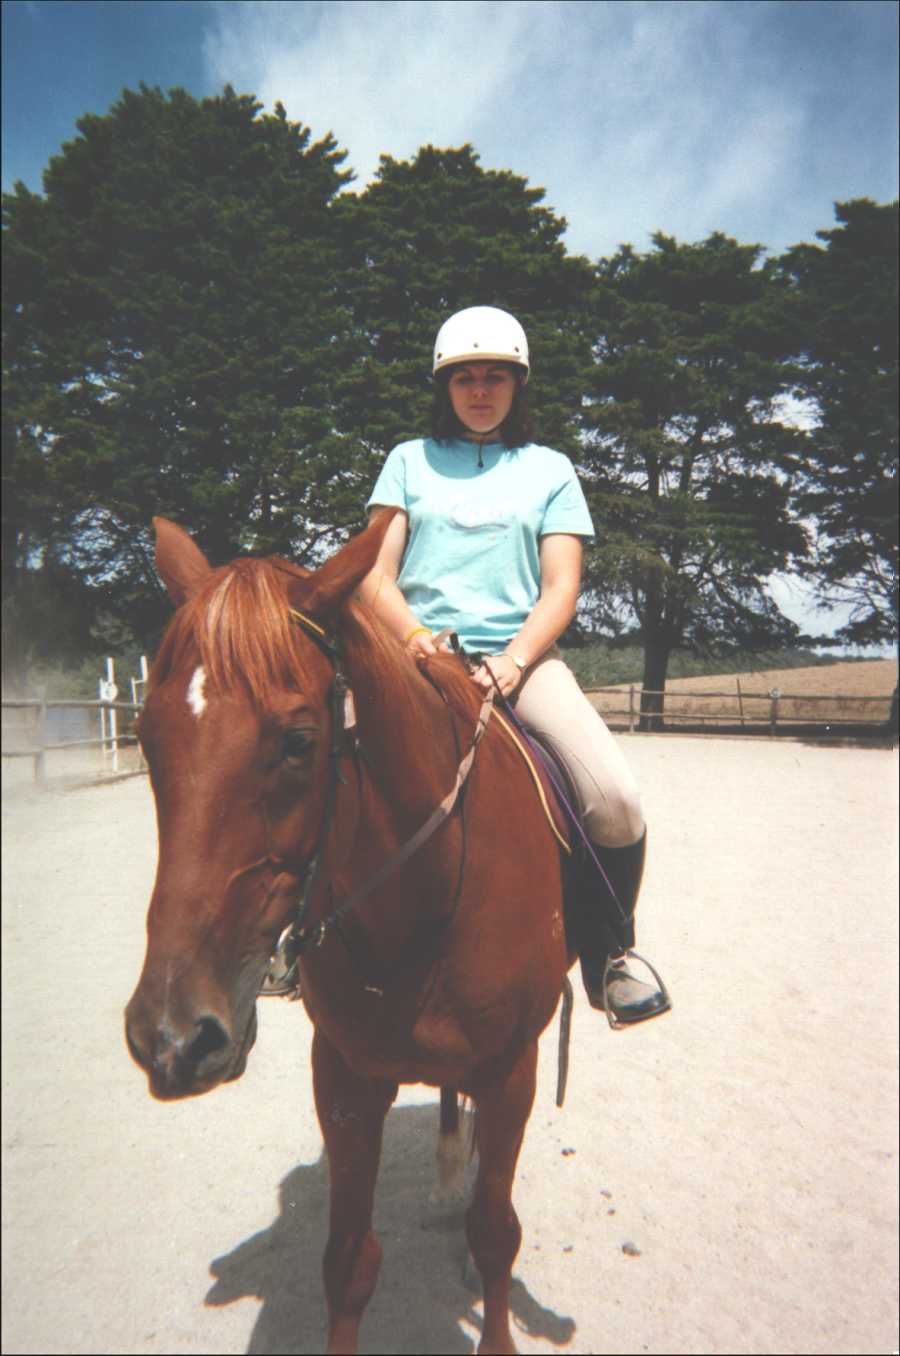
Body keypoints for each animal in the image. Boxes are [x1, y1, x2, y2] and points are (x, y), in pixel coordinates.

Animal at [125, 513, 572, 1356]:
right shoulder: (345, 1077)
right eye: (145, 736)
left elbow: (496, 1233)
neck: (424, 901)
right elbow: (348, 1261)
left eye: (300, 740)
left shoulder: (512, 1070)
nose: (172, 1037)